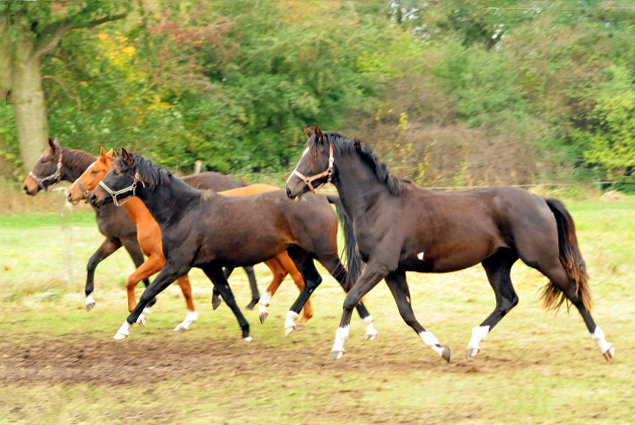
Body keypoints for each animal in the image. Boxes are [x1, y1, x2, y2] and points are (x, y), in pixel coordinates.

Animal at [67, 149, 316, 332]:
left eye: (98, 171)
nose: (81, 195)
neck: (177, 210)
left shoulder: (164, 260)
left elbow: (137, 281)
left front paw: (139, 316)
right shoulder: (175, 260)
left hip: (283, 252)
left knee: (298, 278)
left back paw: (298, 318)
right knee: (284, 275)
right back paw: (267, 309)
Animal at [286, 122, 612, 362]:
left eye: (311, 155)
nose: (290, 189)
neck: (378, 203)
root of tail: (541, 199)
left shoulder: (381, 265)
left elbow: (351, 298)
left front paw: (337, 347)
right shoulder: (394, 271)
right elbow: (407, 313)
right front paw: (442, 349)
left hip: (542, 260)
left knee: (574, 292)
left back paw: (605, 346)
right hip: (496, 263)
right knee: (508, 299)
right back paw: (474, 343)